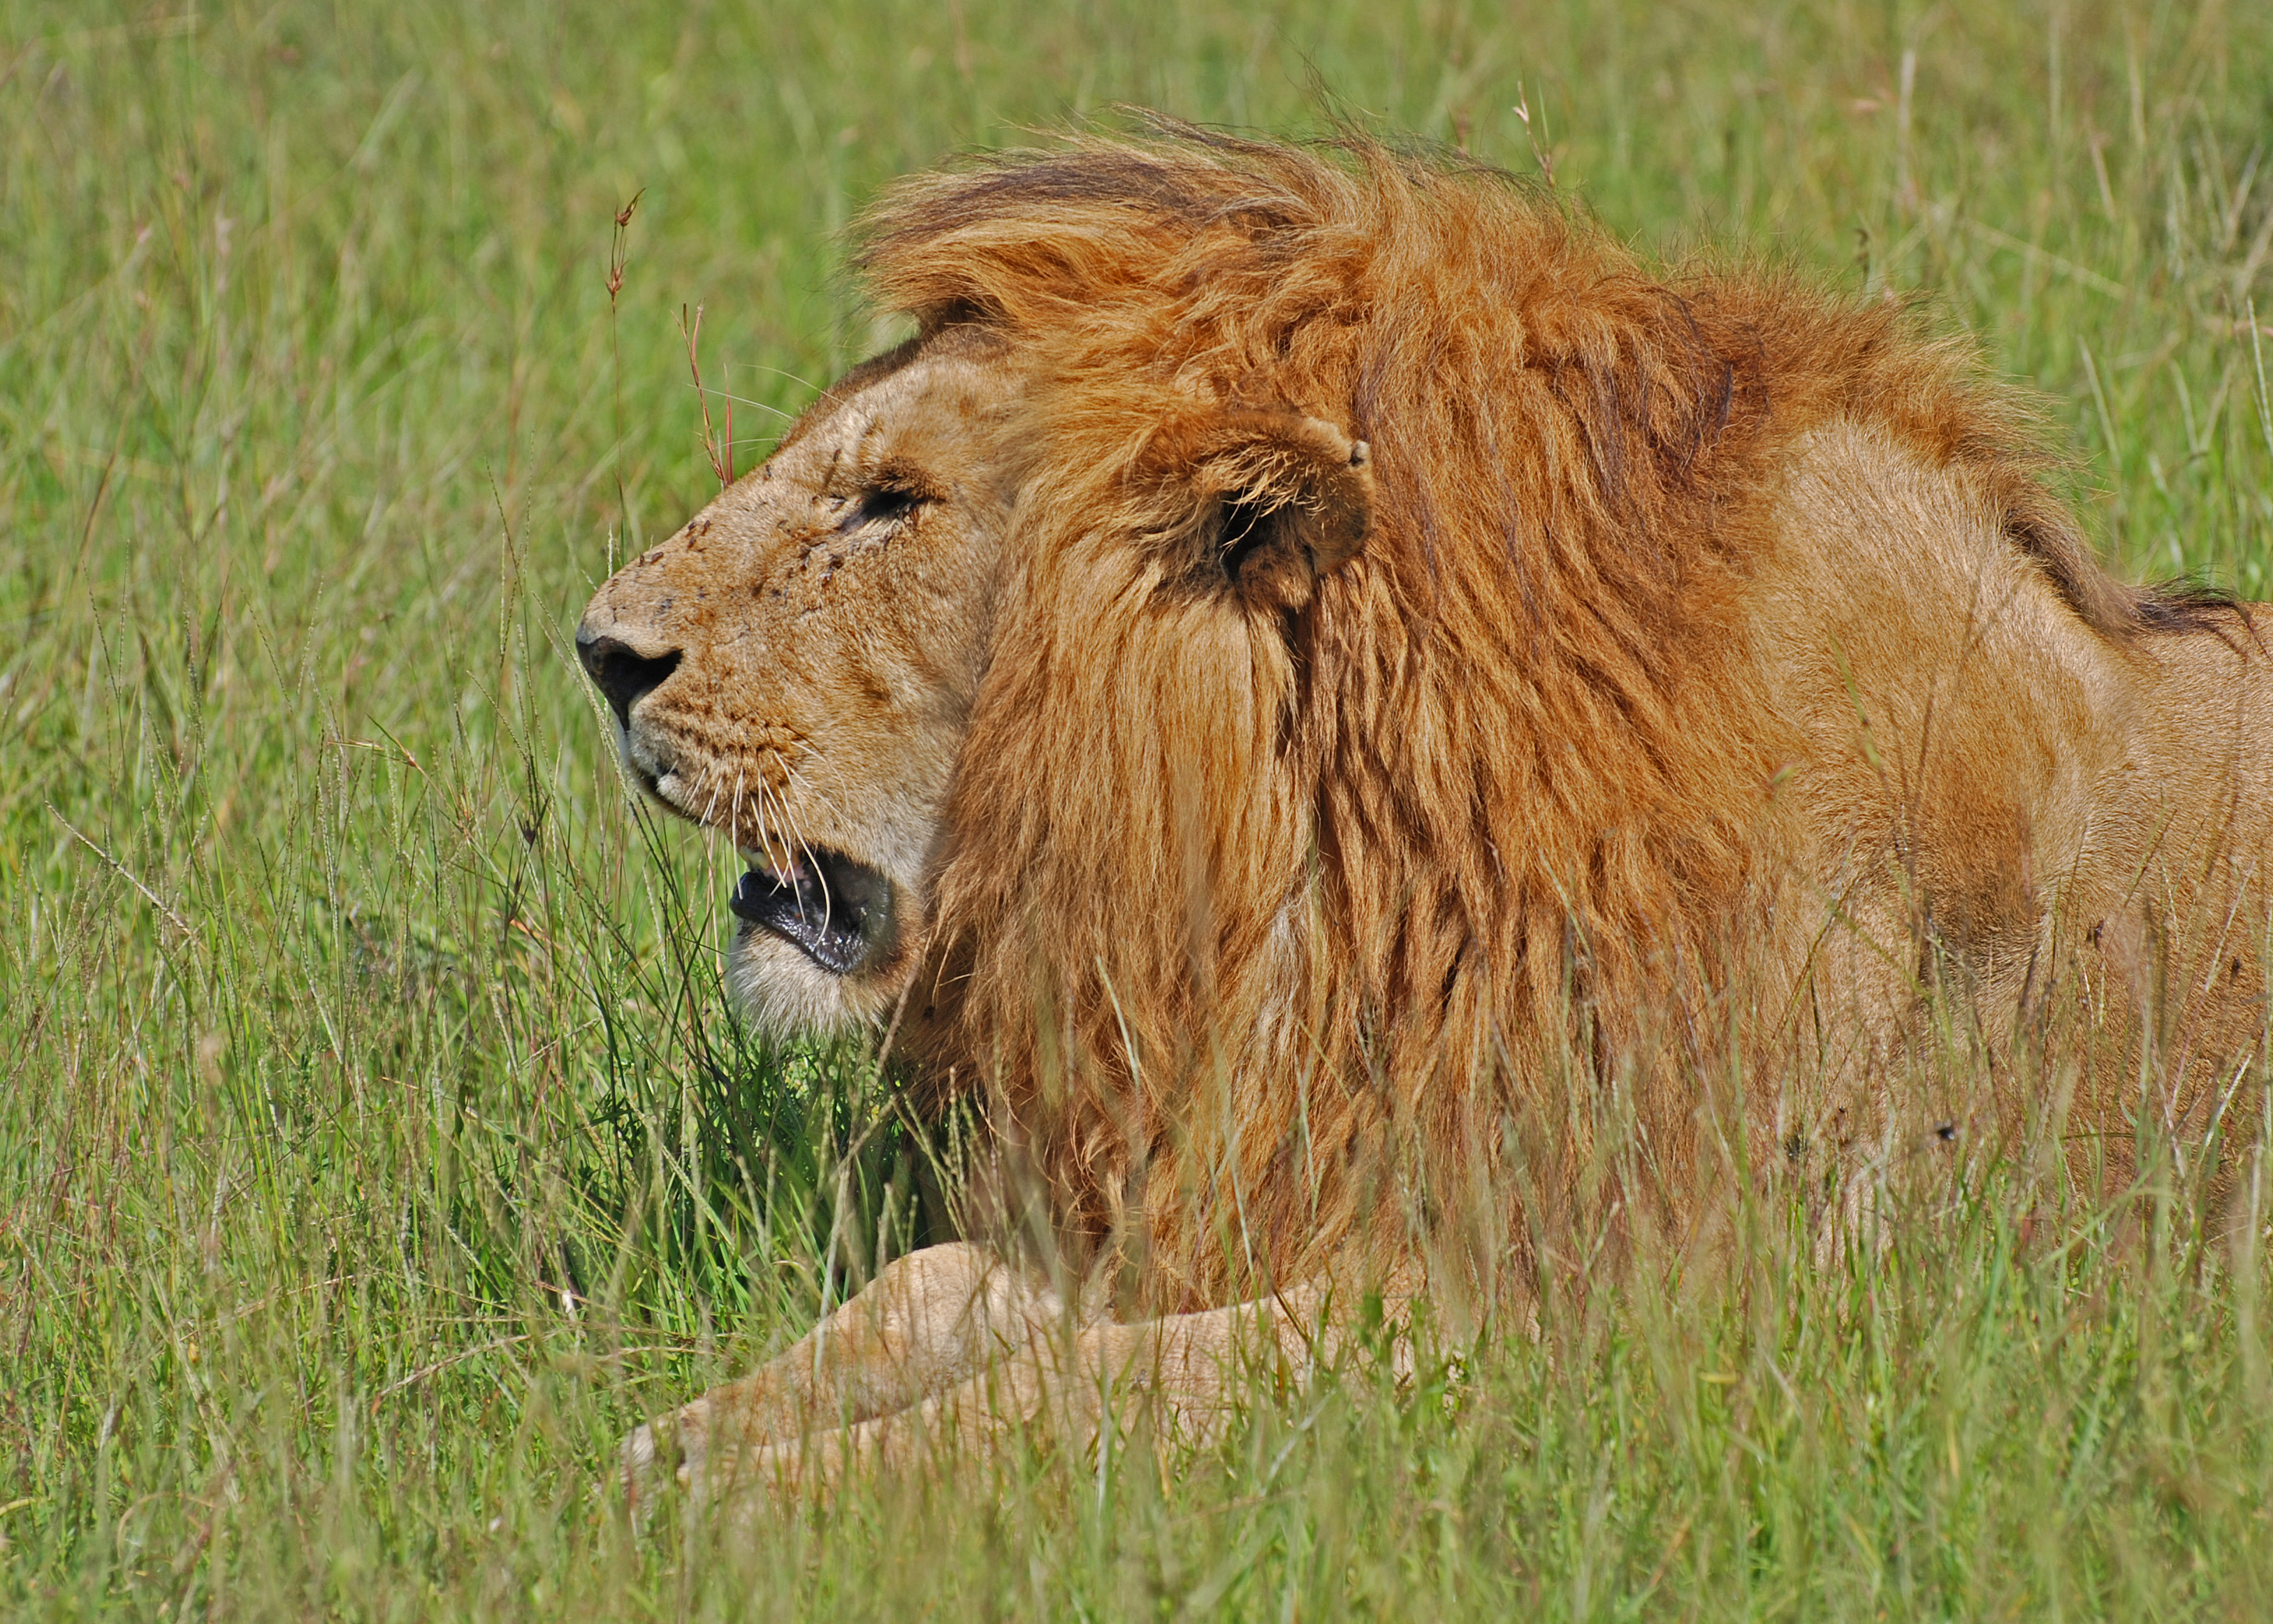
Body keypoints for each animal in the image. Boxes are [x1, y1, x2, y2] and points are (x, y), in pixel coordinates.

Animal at [576, 125, 2273, 1505]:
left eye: (892, 503)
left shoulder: (1596, 1295)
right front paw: (698, 1430)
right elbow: (932, 1282)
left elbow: (1106, 1381)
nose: (598, 650)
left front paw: (771, 1491)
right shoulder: (1260, 1170)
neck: (1317, 883)